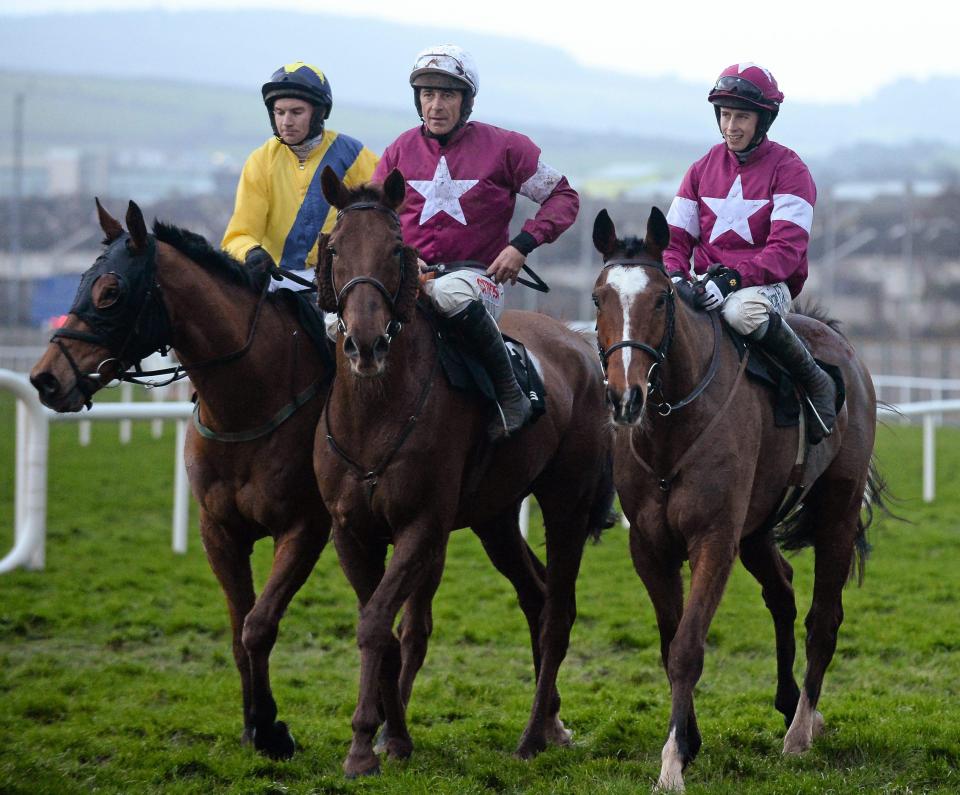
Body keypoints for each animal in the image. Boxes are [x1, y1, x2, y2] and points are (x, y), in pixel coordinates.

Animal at [316, 168, 616, 776]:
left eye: (396, 250)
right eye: (334, 248)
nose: (364, 342)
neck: (375, 414)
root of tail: (578, 343)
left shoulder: (422, 526)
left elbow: (377, 622)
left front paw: (362, 745)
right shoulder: (350, 530)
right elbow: (381, 626)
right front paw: (392, 739)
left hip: (566, 504)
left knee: (558, 612)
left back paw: (531, 737)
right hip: (494, 517)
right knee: (536, 595)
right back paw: (550, 724)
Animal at [592, 208, 884, 792]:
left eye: (661, 299)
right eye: (598, 298)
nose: (625, 396)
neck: (673, 430)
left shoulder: (713, 540)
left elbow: (687, 648)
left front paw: (672, 763)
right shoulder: (649, 546)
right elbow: (669, 642)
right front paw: (687, 742)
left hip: (837, 514)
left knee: (823, 619)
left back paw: (800, 731)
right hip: (756, 528)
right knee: (783, 593)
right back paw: (791, 703)